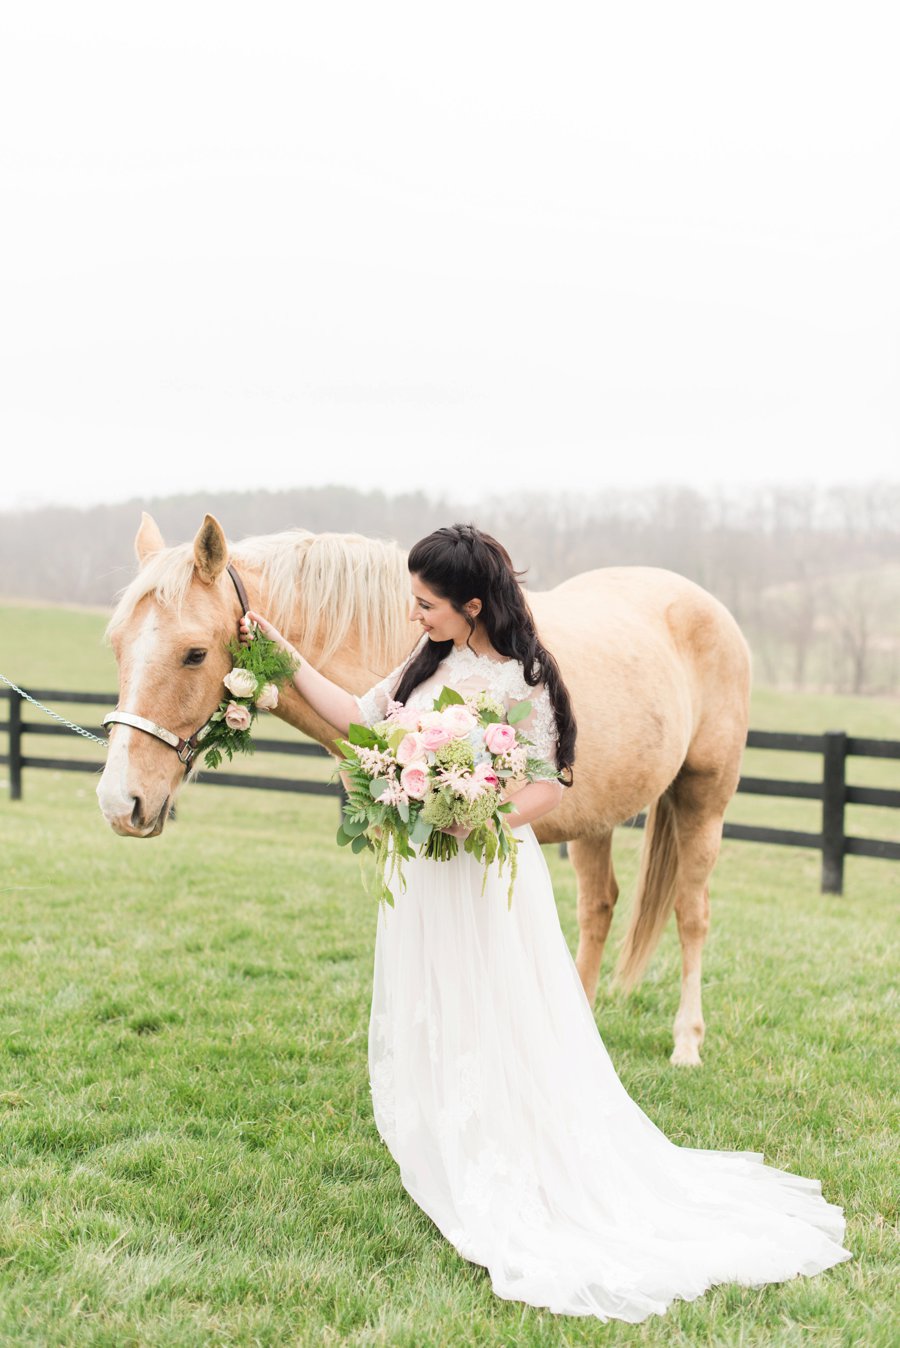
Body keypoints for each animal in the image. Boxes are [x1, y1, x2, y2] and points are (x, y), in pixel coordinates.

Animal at [98, 512, 754, 1062]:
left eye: (194, 654)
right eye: (116, 646)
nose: (119, 802)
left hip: (704, 800)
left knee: (691, 913)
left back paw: (686, 1045)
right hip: (595, 820)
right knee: (599, 907)